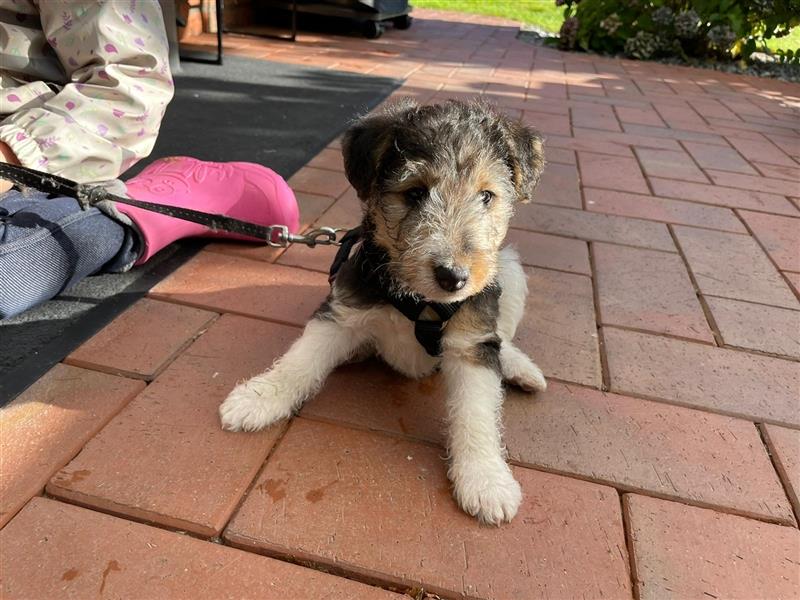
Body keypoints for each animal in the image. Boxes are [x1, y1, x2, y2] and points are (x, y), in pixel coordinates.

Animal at [222, 98, 552, 524]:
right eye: (414, 193)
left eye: (486, 196)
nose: (453, 276)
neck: (420, 301)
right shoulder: (343, 310)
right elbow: (299, 361)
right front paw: (258, 398)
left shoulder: (472, 342)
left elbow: (476, 413)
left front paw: (486, 481)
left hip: (509, 271)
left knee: (503, 339)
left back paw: (520, 369)